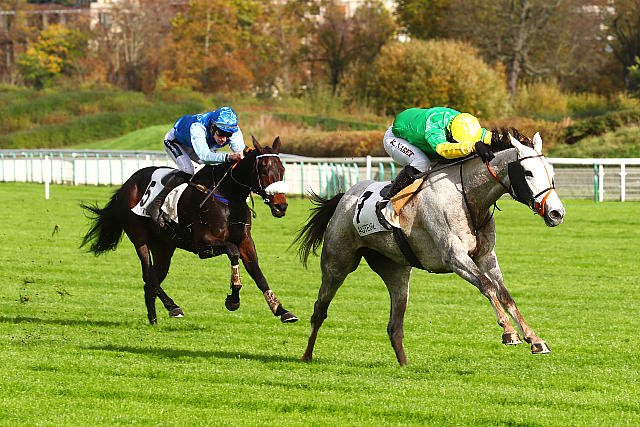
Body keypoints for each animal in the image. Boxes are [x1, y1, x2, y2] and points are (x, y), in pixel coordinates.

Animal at [81, 136, 298, 325]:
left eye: (282, 169)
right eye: (263, 169)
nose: (281, 206)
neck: (228, 196)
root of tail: (126, 185)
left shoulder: (245, 241)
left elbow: (258, 273)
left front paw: (281, 310)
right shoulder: (203, 245)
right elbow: (232, 252)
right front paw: (233, 299)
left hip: (163, 247)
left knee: (151, 279)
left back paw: (153, 319)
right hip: (139, 237)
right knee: (149, 274)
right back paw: (173, 307)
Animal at [294, 129, 565, 365]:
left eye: (549, 170)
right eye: (528, 172)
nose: (556, 213)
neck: (468, 196)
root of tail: (344, 198)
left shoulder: (486, 256)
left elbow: (506, 295)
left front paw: (534, 339)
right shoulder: (455, 258)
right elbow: (487, 287)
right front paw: (509, 332)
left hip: (397, 272)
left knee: (394, 326)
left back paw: (404, 366)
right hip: (337, 264)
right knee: (320, 309)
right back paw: (306, 356)